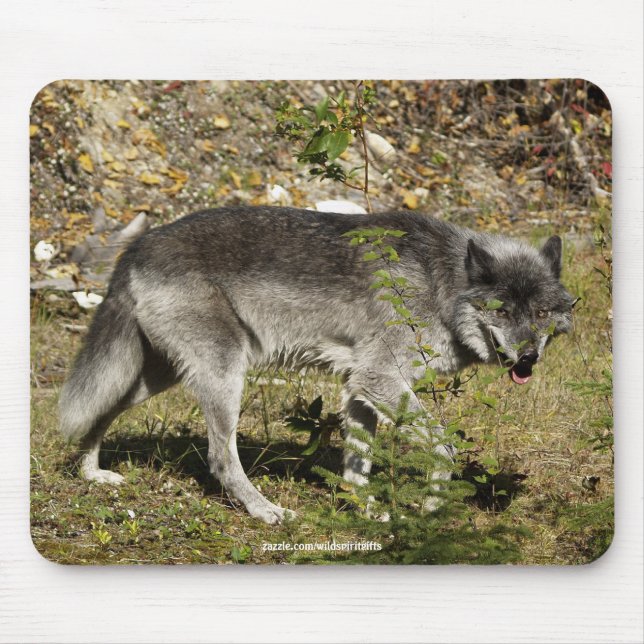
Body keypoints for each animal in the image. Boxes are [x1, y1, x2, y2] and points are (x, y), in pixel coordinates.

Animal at [59, 207, 575, 524]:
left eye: (540, 313)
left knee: (99, 410)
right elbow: (444, 447)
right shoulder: (379, 378)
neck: (441, 283)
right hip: (225, 377)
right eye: (502, 310)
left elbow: (357, 464)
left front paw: (365, 511)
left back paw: (91, 473)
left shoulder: (359, 388)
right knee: (221, 458)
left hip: (155, 377)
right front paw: (432, 507)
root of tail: (134, 250)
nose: (528, 357)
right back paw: (267, 512)